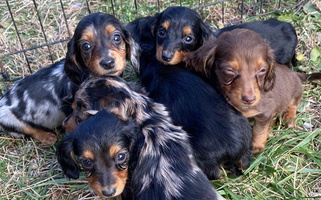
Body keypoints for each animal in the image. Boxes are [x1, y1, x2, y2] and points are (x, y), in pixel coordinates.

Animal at [185, 28, 320, 153]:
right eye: (229, 70)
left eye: (262, 70)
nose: (249, 99)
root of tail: (295, 74)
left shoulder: (265, 112)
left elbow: (259, 130)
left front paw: (257, 146)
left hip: (295, 92)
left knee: (293, 104)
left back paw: (289, 118)